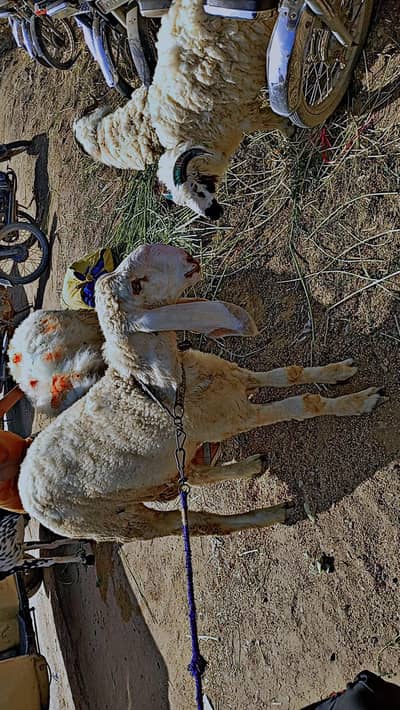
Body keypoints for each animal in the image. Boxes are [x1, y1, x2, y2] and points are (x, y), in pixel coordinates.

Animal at [17, 243, 385, 543]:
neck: (164, 383)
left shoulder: (236, 379)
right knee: (202, 523)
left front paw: (339, 372)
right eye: (137, 285)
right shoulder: (238, 417)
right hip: (120, 522)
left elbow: (289, 373)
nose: (187, 257)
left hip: (166, 466)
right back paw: (270, 514)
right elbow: (304, 403)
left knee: (195, 475)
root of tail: (25, 492)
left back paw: (248, 468)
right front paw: (360, 402)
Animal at [73, 0, 291, 219]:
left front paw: (288, 132)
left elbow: (272, 120)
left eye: (195, 187)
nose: (213, 215)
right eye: (184, 204)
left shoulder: (244, 115)